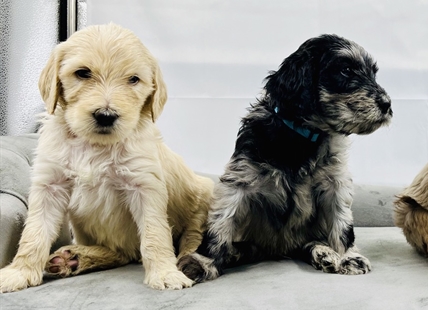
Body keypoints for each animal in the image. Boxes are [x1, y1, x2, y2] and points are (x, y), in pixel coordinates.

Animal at [0, 23, 214, 292]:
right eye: (82, 73)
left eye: (133, 79)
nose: (106, 115)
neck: (94, 146)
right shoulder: (50, 185)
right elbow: (34, 233)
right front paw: (19, 272)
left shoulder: (144, 185)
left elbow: (155, 233)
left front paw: (165, 273)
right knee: (120, 253)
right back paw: (75, 258)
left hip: (203, 198)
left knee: (191, 238)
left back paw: (189, 262)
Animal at [179, 34, 392, 280]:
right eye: (346, 70)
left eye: (373, 73)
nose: (387, 104)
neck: (302, 137)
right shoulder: (240, 179)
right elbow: (221, 221)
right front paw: (203, 261)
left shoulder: (336, 184)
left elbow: (342, 224)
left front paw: (349, 257)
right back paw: (233, 253)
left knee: (309, 242)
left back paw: (323, 253)